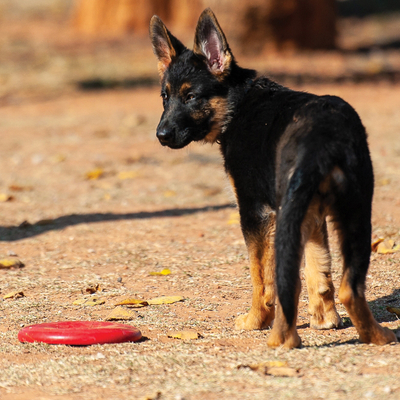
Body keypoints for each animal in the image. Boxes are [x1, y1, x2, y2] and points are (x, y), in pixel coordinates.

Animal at [149, 7, 396, 348]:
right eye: (165, 97)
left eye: (191, 97)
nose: (160, 136)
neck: (238, 103)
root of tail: (324, 136)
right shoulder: (311, 212)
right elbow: (319, 266)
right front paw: (325, 319)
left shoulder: (256, 212)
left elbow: (260, 277)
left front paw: (255, 320)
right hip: (354, 211)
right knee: (350, 286)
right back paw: (376, 335)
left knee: (284, 281)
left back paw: (282, 337)